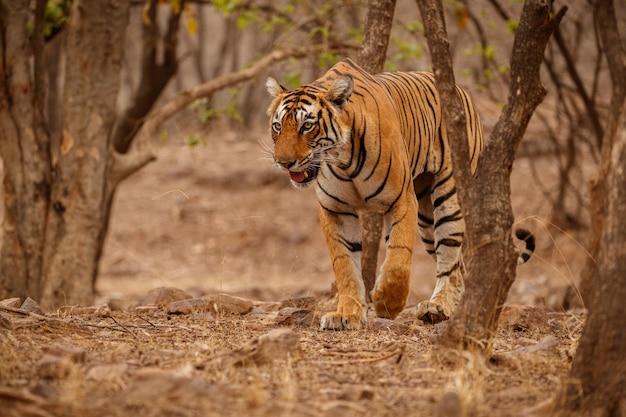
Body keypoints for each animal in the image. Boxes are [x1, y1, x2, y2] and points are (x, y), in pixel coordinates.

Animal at [264, 58, 532, 330]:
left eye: (307, 126)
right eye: (277, 126)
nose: (283, 162)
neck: (343, 160)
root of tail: (460, 90)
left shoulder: (401, 199)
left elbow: (398, 258)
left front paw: (386, 303)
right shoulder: (336, 209)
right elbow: (345, 264)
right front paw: (347, 314)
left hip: (448, 196)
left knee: (450, 259)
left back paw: (438, 307)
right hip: (427, 219)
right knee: (459, 263)